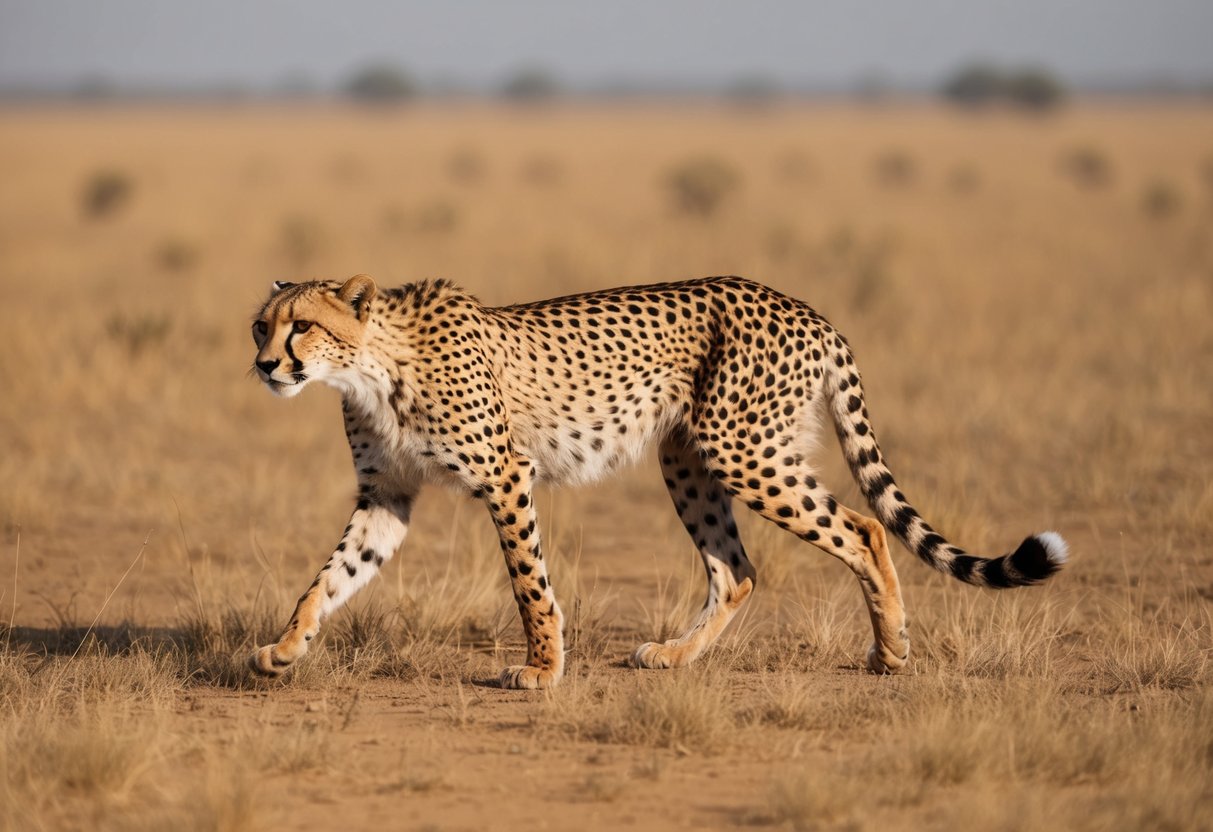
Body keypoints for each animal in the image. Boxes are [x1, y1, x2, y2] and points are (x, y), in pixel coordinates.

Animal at [248, 274, 1067, 689]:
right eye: (261, 324)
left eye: (302, 326)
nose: (263, 364)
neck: (369, 365)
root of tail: (806, 308)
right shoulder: (386, 496)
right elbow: (330, 577)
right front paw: (285, 649)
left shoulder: (506, 476)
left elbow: (526, 580)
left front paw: (542, 667)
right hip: (689, 458)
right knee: (737, 569)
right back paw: (675, 656)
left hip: (743, 449)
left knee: (862, 528)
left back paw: (890, 651)